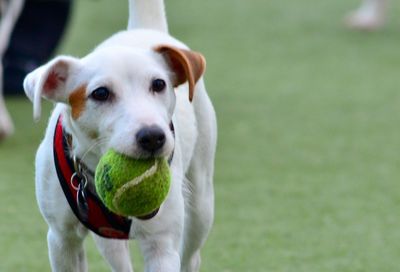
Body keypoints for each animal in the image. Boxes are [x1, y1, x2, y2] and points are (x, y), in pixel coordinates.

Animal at [22, 0, 216, 270]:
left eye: (159, 84)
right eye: (100, 93)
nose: (152, 136)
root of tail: (143, 29)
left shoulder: (161, 245)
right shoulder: (62, 239)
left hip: (201, 201)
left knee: (192, 254)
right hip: (107, 240)